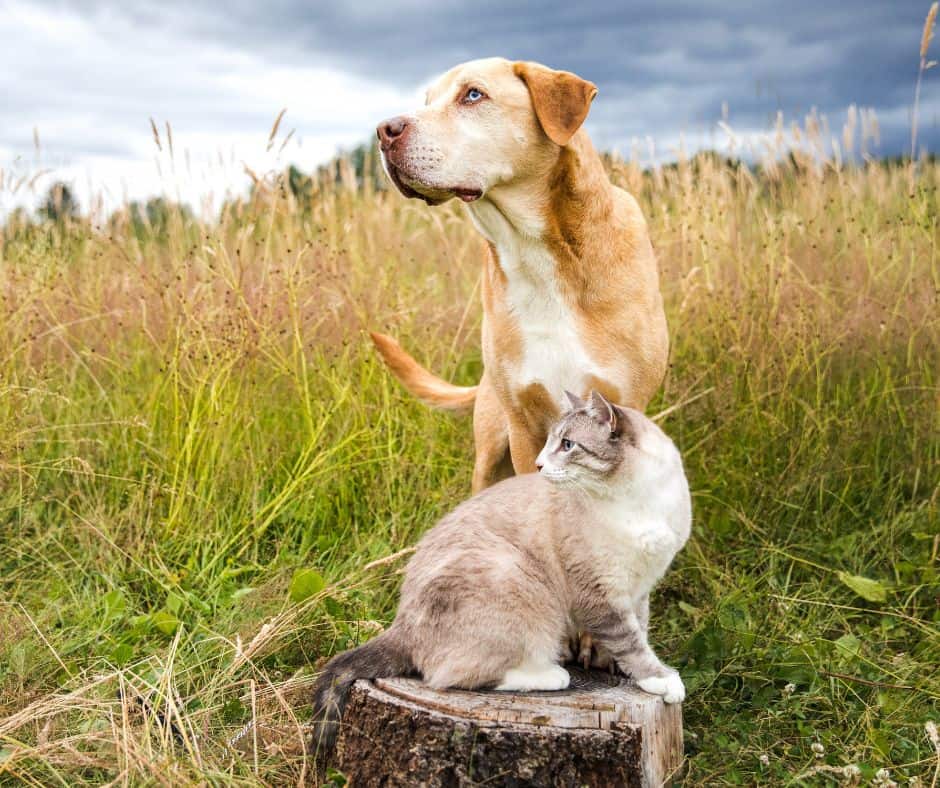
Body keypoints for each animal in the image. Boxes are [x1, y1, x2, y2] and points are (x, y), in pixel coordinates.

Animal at [308, 390, 692, 748]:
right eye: (551, 443)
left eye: (567, 445)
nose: (538, 465)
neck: (635, 497)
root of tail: (400, 623)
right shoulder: (599, 593)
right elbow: (630, 642)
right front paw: (662, 679)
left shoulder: (639, 588)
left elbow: (639, 633)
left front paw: (637, 678)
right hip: (517, 581)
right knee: (450, 676)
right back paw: (552, 675)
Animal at [372, 58, 668, 492]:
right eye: (426, 101)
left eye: (473, 94)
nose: (383, 130)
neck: (537, 254)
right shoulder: (524, 426)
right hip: (490, 451)